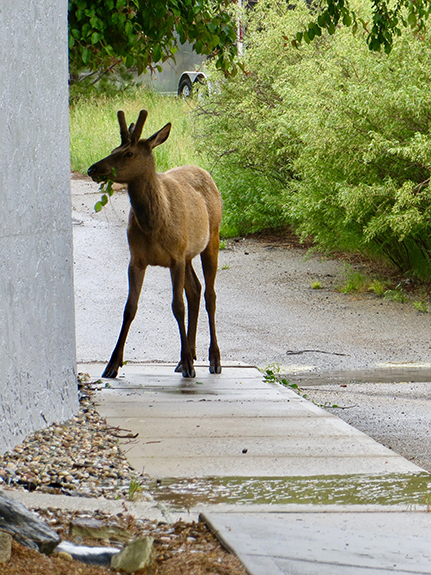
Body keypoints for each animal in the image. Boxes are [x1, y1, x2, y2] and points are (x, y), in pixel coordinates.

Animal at [88, 110, 223, 380]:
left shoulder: (176, 258)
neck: (155, 224)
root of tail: (205, 172)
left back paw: (213, 359)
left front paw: (190, 365)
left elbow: (177, 306)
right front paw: (112, 364)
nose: (92, 168)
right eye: (113, 148)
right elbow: (129, 307)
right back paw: (187, 356)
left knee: (210, 295)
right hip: (188, 252)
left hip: (212, 237)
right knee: (195, 289)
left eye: (129, 153)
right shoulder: (137, 259)